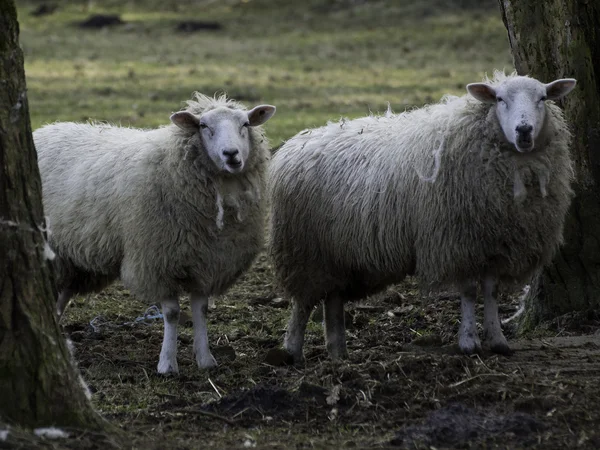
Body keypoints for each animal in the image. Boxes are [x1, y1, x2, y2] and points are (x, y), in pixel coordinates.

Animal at [33, 92, 276, 372]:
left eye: (245, 124)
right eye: (204, 126)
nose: (231, 154)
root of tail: (44, 129)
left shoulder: (206, 261)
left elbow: (201, 310)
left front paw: (205, 359)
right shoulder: (157, 261)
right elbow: (171, 313)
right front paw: (167, 363)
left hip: (72, 257)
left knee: (62, 293)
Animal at [268, 72, 576, 364]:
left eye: (542, 98)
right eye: (500, 99)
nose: (524, 131)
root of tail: (294, 143)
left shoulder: (492, 242)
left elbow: (490, 292)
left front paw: (498, 340)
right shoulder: (457, 241)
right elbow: (468, 291)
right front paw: (468, 343)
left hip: (337, 255)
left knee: (332, 299)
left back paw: (338, 354)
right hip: (304, 251)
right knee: (303, 303)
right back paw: (292, 351)